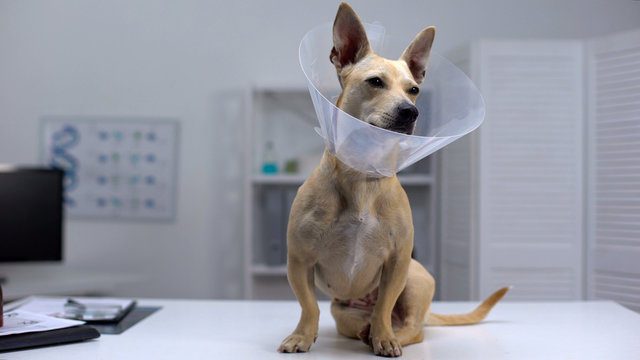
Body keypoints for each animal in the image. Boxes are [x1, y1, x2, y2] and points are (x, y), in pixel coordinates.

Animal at [278, 3, 508, 358]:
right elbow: (309, 306)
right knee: (359, 319)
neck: (362, 177)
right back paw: (364, 331)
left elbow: (384, 305)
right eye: (375, 82)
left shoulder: (397, 264)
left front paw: (384, 337)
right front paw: (302, 335)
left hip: (414, 281)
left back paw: (386, 334)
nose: (410, 111)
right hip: (342, 312)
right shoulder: (299, 261)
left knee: (412, 327)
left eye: (414, 89)